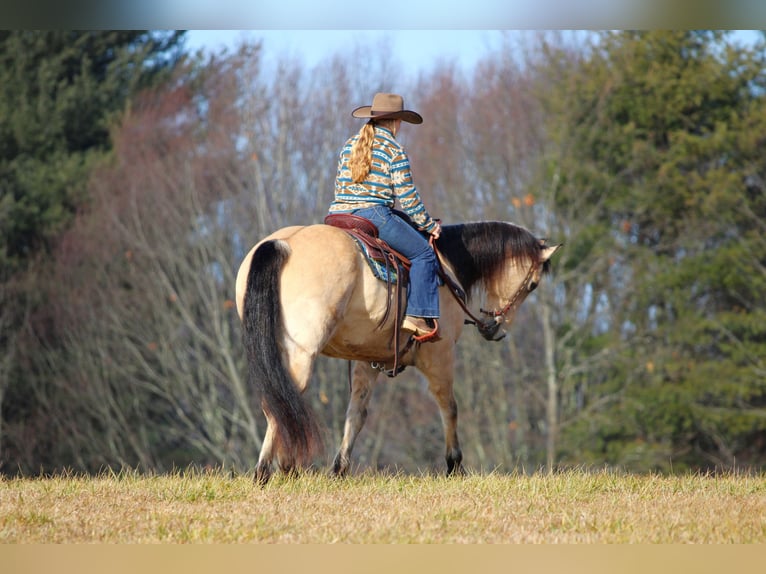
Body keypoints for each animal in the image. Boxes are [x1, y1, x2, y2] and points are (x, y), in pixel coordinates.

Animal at [234, 218, 560, 484]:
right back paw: (268, 470)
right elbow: (449, 407)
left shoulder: (367, 360)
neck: (447, 267)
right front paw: (454, 465)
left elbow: (357, 414)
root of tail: (284, 245)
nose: (494, 328)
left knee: (278, 400)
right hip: (302, 355)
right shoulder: (439, 356)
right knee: (282, 402)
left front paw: (340, 469)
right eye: (532, 284)